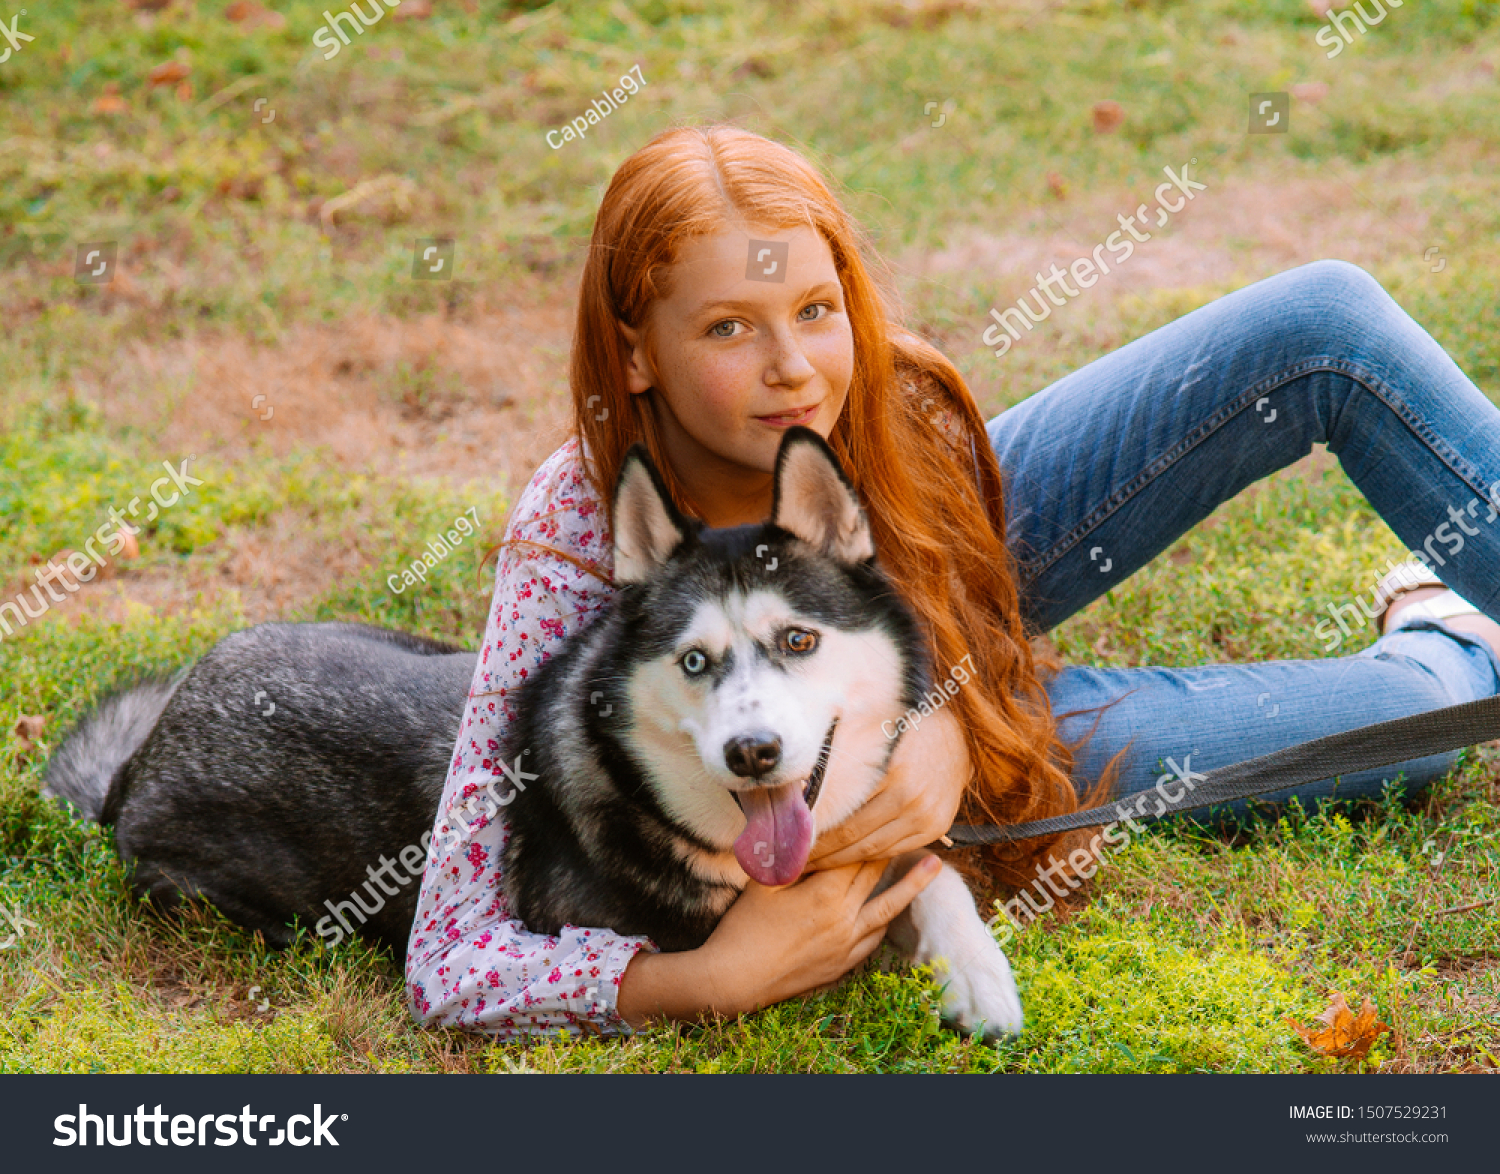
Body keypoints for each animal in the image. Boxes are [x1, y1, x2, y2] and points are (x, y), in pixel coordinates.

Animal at [43, 428, 1020, 1037]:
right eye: (694, 661)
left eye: (798, 641)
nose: (753, 754)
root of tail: (144, 752)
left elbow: (929, 870)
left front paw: (978, 974)